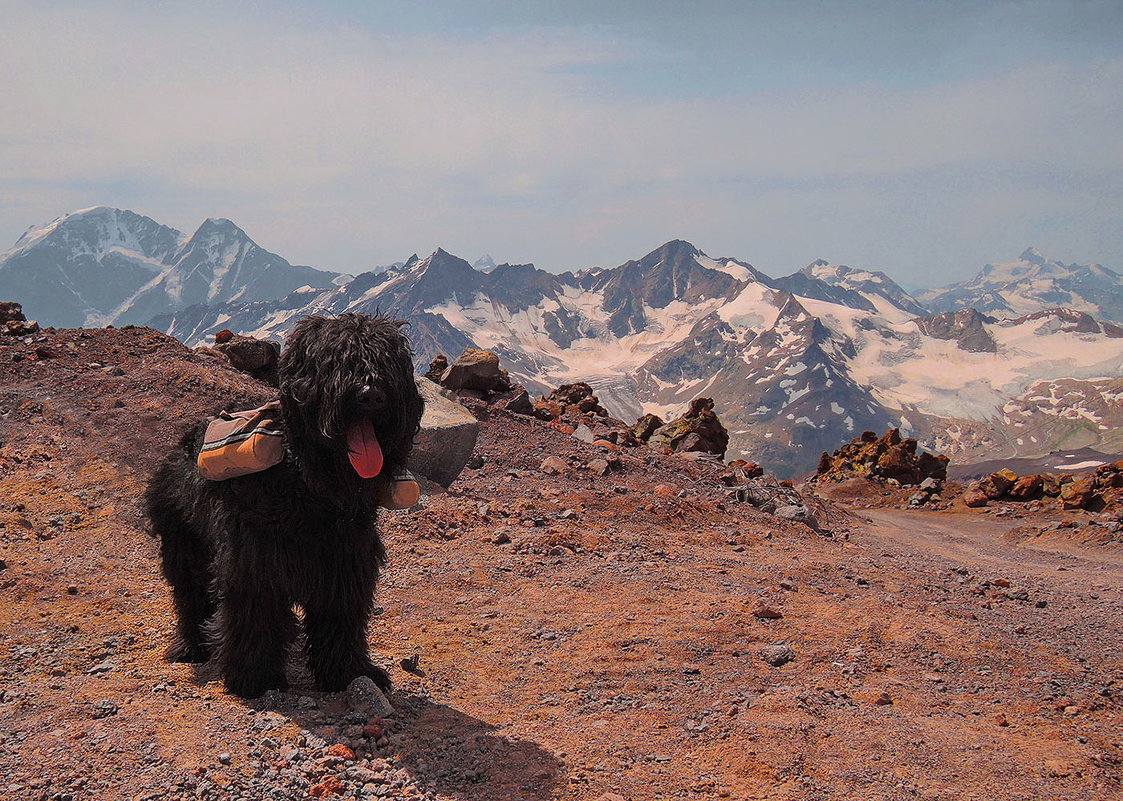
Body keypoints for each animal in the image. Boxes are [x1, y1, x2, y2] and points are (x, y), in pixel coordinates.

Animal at [144, 314, 424, 696]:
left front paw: (349, 672)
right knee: (191, 596)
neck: (309, 485)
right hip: (184, 543)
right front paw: (255, 677)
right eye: (334, 362)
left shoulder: (345, 563)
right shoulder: (253, 563)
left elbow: (340, 618)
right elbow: (255, 613)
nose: (372, 395)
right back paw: (192, 646)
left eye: (387, 361)